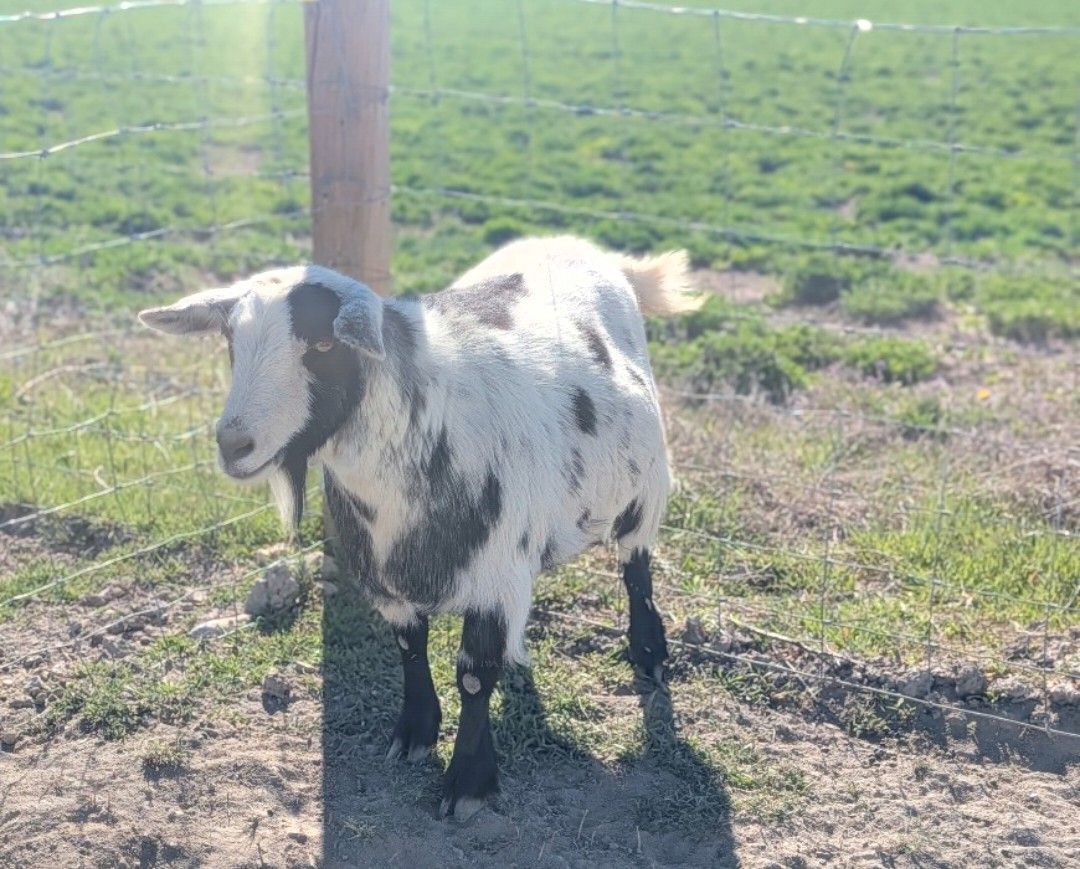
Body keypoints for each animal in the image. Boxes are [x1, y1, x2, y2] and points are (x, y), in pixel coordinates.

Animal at [139, 235, 699, 819]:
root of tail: (580, 247)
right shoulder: (388, 574)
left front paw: (467, 782)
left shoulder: (494, 576)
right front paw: (415, 733)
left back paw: (649, 652)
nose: (233, 445)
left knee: (636, 567)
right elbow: (410, 646)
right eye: (231, 341)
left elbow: (474, 675)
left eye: (323, 345)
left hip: (645, 489)